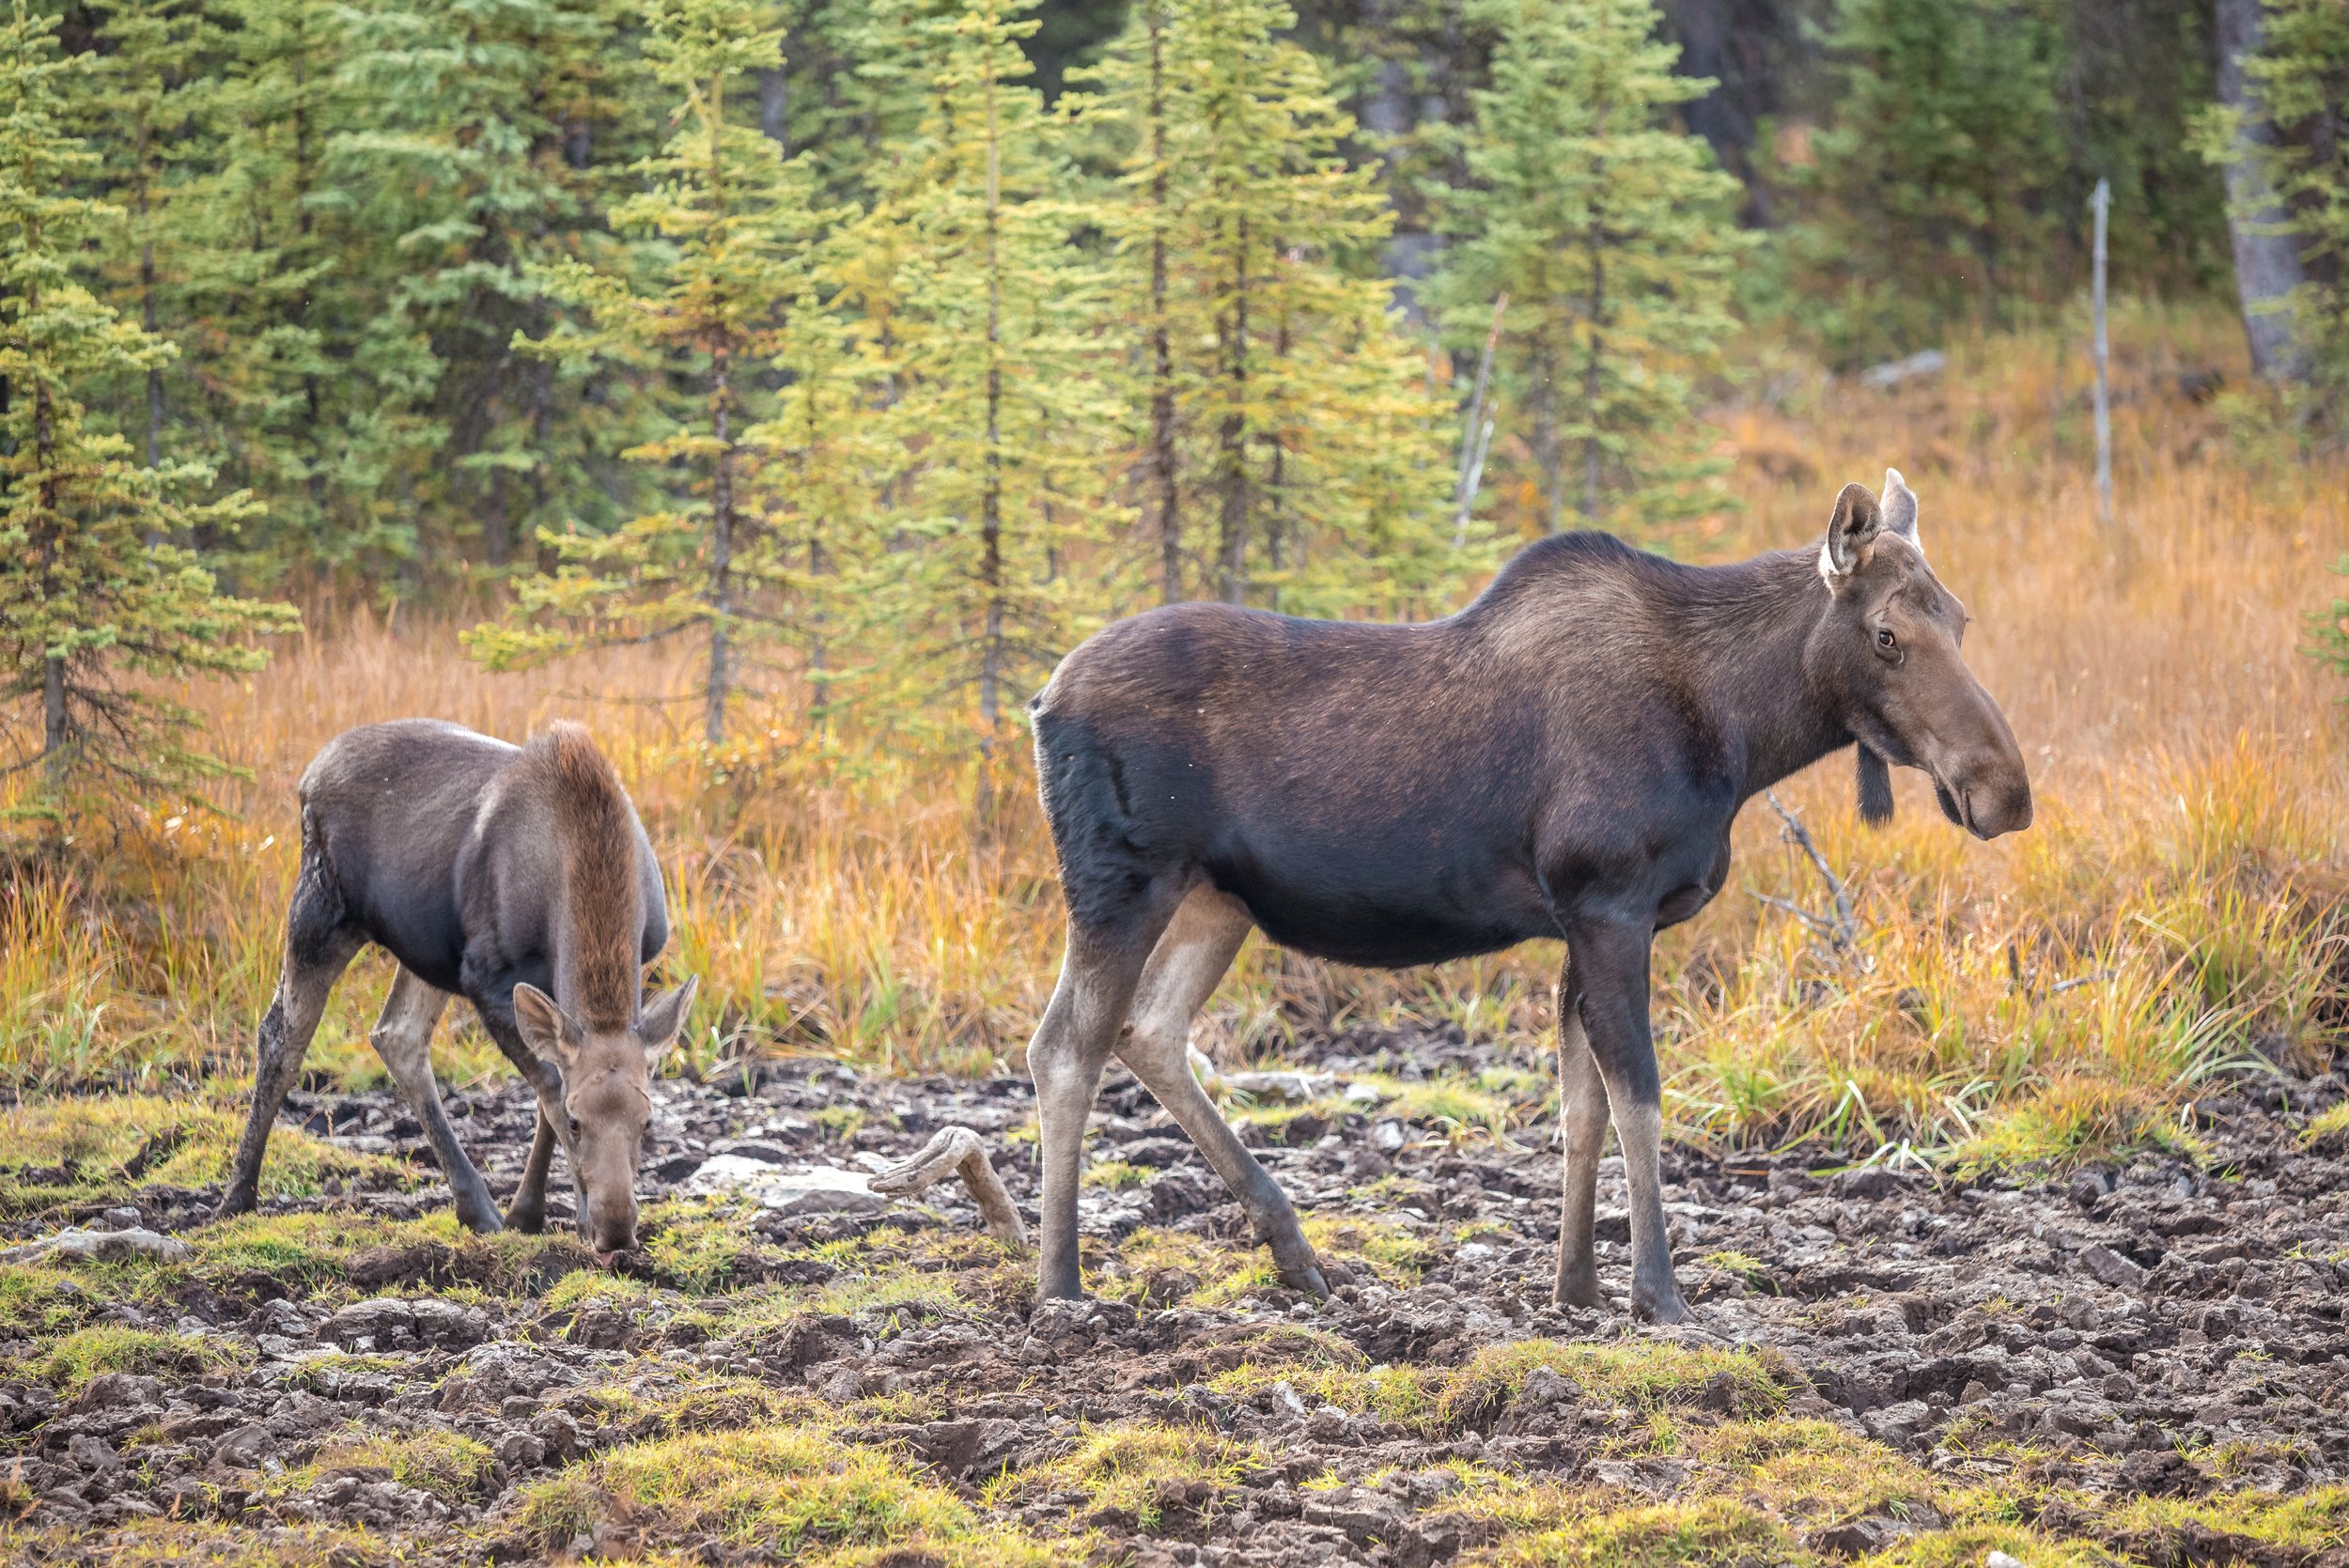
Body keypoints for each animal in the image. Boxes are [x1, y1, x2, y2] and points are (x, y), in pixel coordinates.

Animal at [217, 722, 695, 1258]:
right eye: (576, 1122)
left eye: (648, 1121)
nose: (617, 1229)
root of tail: (307, 777)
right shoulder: (484, 978)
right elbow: (550, 1087)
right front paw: (563, 1215)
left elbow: (545, 1087)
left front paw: (533, 1213)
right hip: (321, 910)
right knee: (282, 1036)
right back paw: (238, 1195)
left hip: (425, 948)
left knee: (395, 1034)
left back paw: (475, 1206)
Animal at [1029, 469, 2039, 1324]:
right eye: (1886, 635)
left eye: (1961, 618)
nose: (2005, 791)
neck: (1743, 733)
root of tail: (1041, 701)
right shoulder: (1608, 904)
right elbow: (1640, 1099)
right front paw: (1658, 1294)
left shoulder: (1583, 922)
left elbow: (1579, 1108)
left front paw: (1575, 1285)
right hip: (1122, 880)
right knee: (1065, 1048)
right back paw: (1061, 1282)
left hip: (1215, 900)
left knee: (1148, 1029)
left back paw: (1292, 1250)